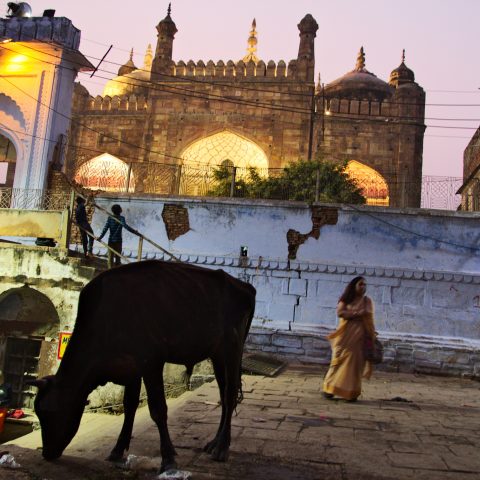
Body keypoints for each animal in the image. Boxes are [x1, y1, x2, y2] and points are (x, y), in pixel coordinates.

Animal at [29, 260, 255, 470]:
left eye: (48, 412)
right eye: (37, 412)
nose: (47, 453)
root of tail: (245, 287)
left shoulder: (151, 361)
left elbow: (158, 409)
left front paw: (168, 458)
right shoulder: (130, 368)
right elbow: (129, 406)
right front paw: (117, 450)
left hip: (232, 348)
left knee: (230, 394)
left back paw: (222, 447)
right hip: (217, 355)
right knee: (223, 394)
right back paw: (215, 442)